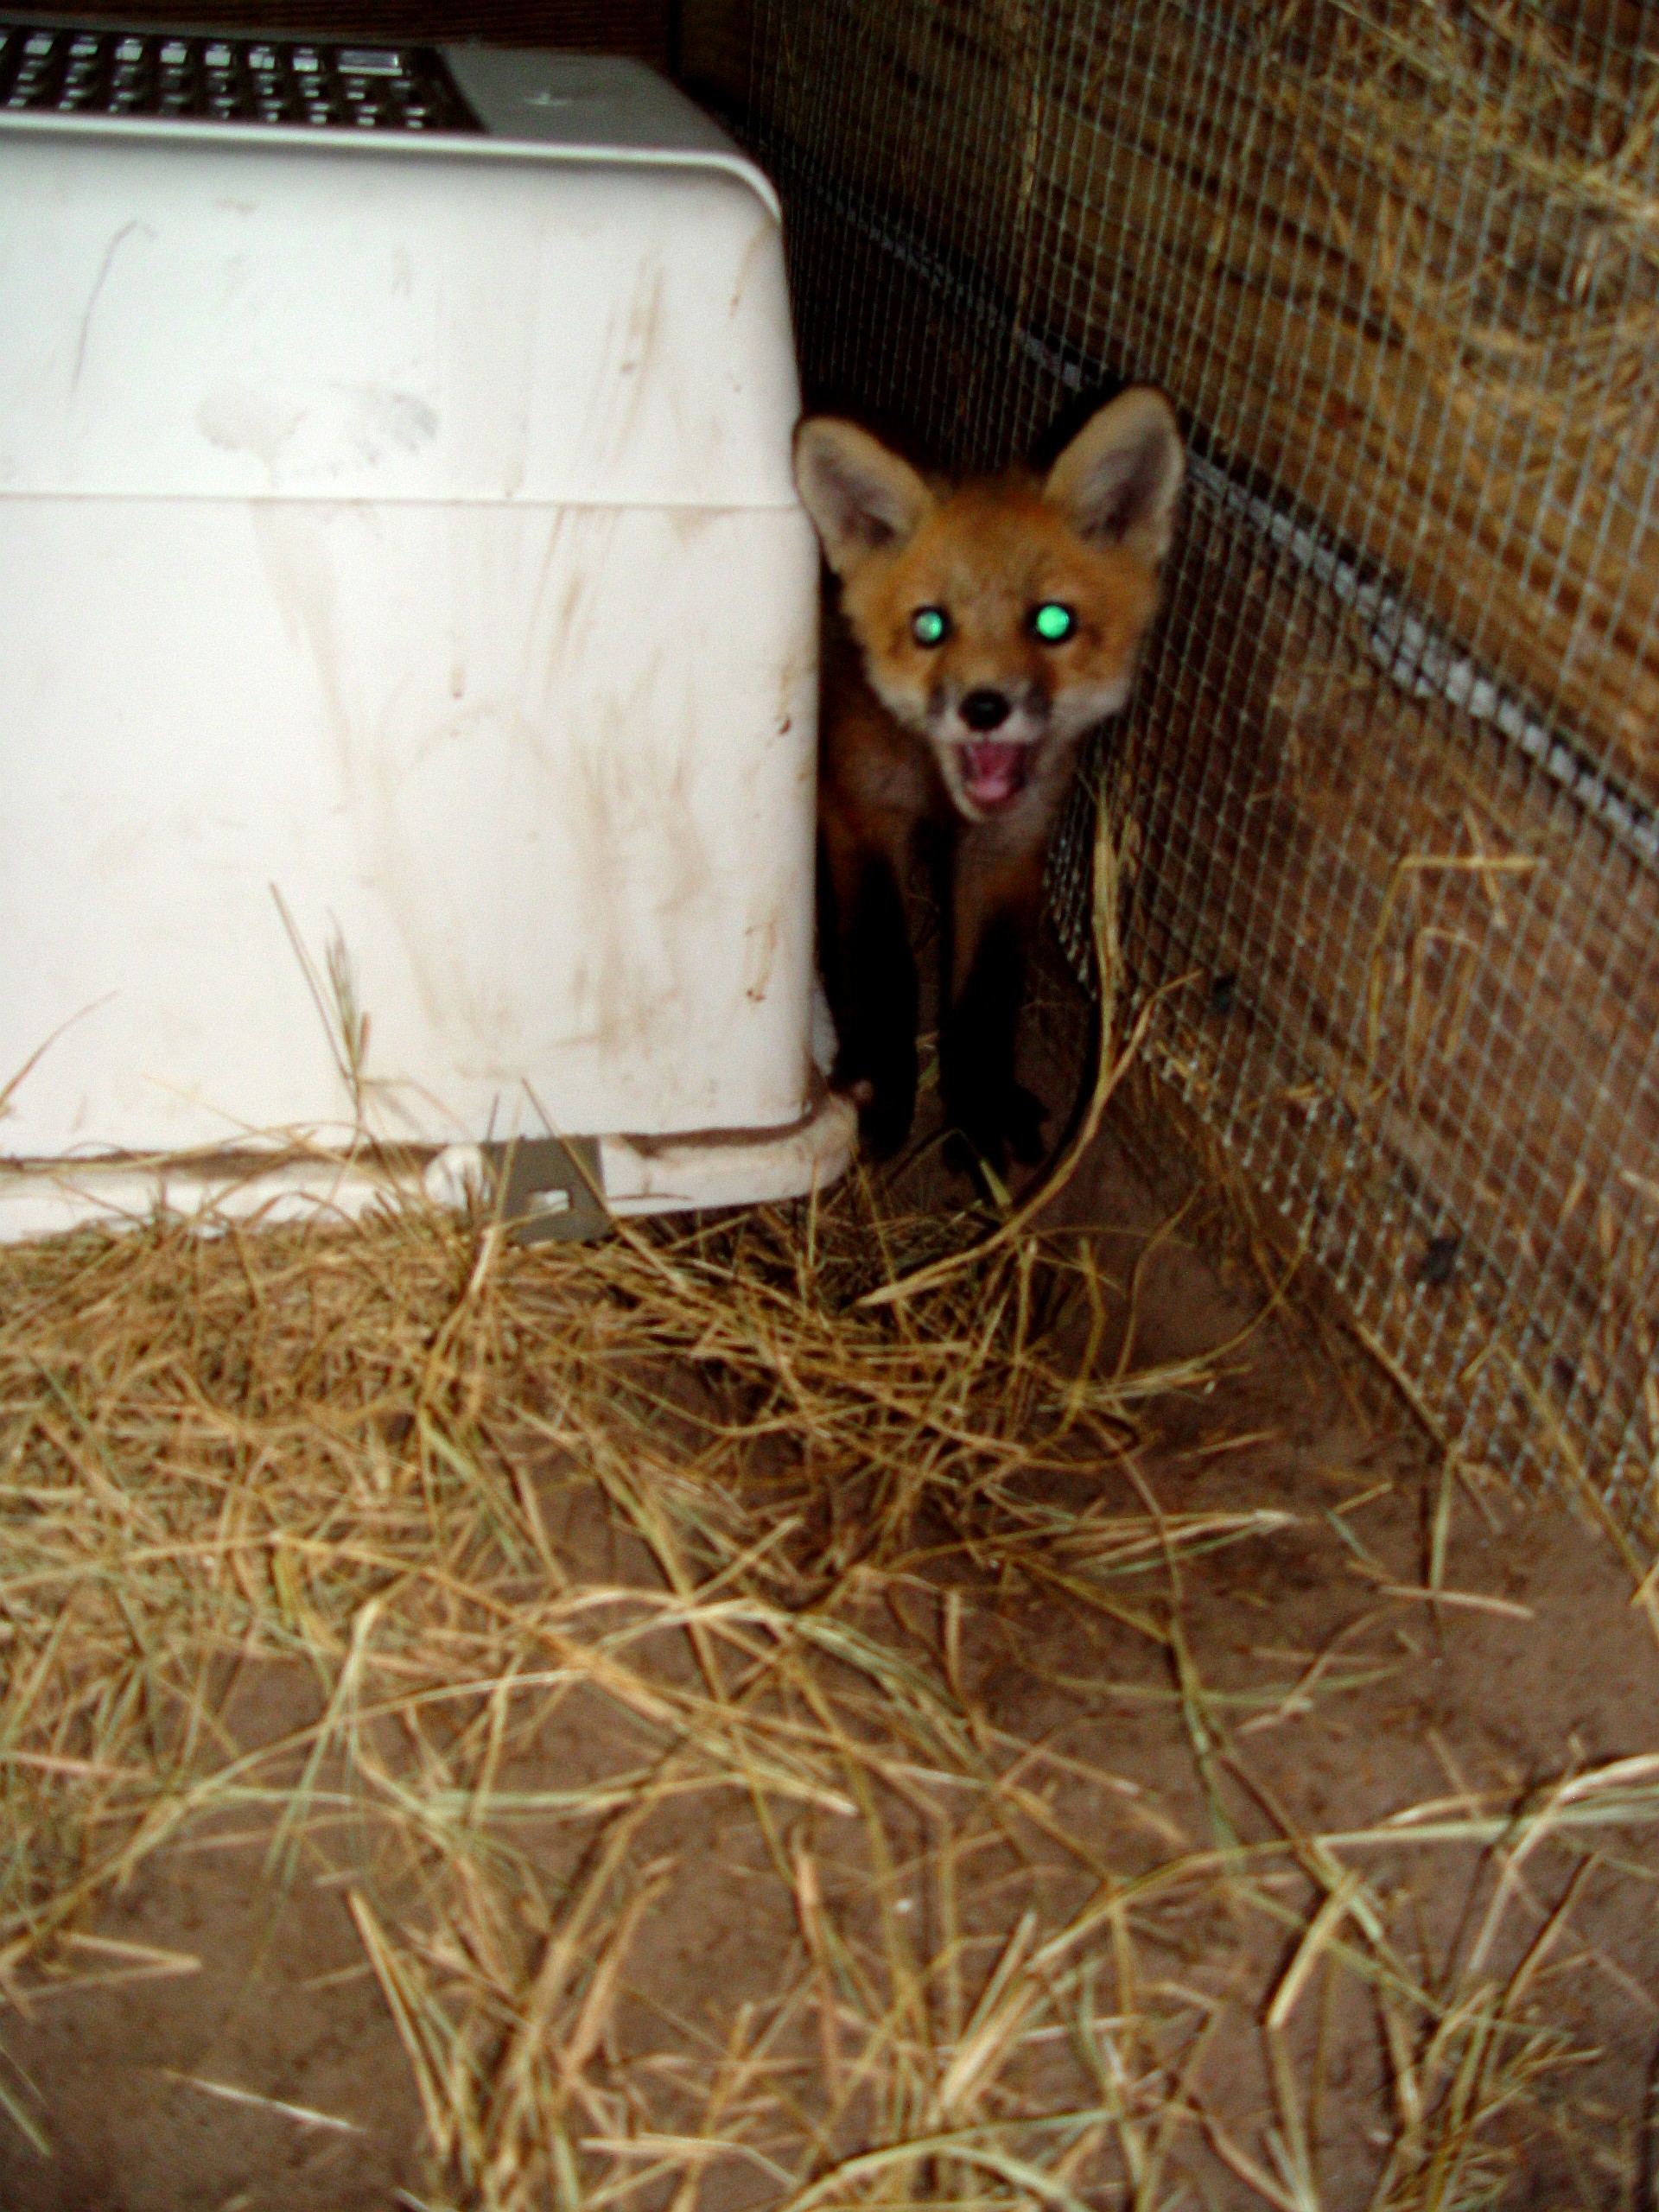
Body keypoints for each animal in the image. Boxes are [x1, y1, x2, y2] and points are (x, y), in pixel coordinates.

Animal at [793, 387, 1185, 1179]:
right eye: (930, 626)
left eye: (1053, 621)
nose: (984, 707)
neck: (936, 790)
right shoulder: (859, 815)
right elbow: (884, 963)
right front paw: (883, 1089)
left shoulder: (1009, 845)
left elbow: (986, 991)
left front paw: (980, 1107)